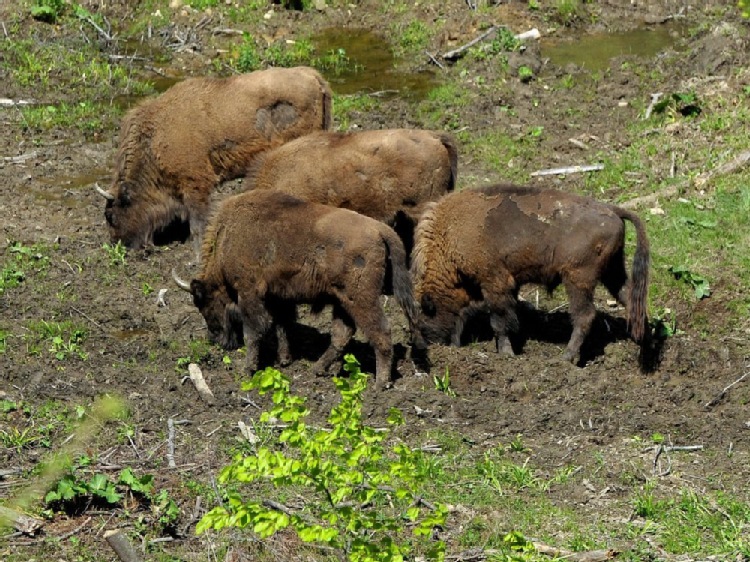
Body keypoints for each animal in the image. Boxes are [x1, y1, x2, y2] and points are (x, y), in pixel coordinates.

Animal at [98, 65, 334, 247]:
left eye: (111, 216)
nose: (119, 244)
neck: (154, 136)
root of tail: (312, 75)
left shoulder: (196, 181)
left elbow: (197, 217)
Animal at [173, 190, 426, 388]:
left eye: (203, 302)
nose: (216, 338)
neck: (228, 235)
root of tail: (381, 230)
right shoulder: (277, 297)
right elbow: (282, 326)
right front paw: (284, 360)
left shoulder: (249, 293)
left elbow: (254, 330)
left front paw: (248, 370)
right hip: (342, 301)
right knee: (342, 334)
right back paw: (318, 370)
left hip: (361, 299)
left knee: (380, 331)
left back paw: (380, 383)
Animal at [412, 182, 652, 360]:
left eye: (427, 312)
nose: (433, 343)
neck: (449, 236)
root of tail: (612, 210)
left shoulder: (494, 282)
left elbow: (499, 321)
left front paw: (506, 354)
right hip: (613, 272)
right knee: (631, 300)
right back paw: (642, 342)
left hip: (578, 279)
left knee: (585, 315)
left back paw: (567, 357)